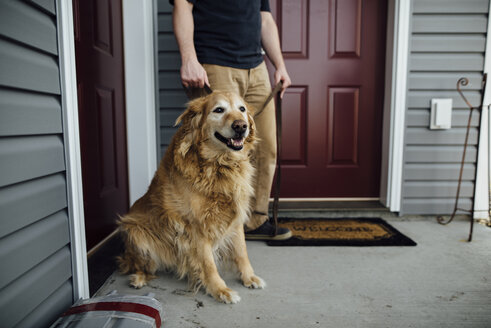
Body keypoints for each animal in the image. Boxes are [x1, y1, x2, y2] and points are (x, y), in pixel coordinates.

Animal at [117, 91, 266, 304]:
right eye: (218, 110)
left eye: (242, 109)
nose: (241, 126)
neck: (219, 165)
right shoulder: (196, 227)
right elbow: (208, 263)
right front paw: (220, 290)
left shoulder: (236, 217)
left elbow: (241, 252)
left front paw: (249, 277)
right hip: (134, 231)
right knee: (138, 265)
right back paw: (138, 279)